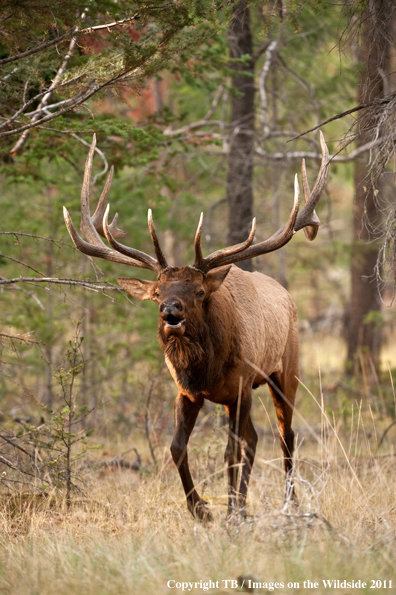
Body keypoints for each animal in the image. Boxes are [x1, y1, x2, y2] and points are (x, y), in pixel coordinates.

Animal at [63, 134, 330, 520]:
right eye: (158, 292)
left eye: (199, 291)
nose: (170, 311)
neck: (207, 369)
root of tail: (287, 295)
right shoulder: (188, 392)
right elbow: (177, 447)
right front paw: (201, 508)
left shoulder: (241, 386)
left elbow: (230, 452)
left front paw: (229, 511)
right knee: (255, 439)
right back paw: (246, 503)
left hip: (285, 371)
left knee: (286, 436)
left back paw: (288, 503)